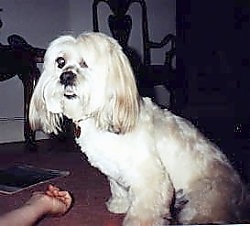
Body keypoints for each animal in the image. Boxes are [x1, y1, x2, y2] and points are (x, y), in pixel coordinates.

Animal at [28, 31, 248, 224]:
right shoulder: (114, 171)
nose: (66, 76)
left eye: (85, 63)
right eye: (60, 62)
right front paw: (119, 205)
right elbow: (117, 188)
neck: (100, 116)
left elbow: (144, 211)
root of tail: (241, 194)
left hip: (200, 201)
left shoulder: (151, 179)